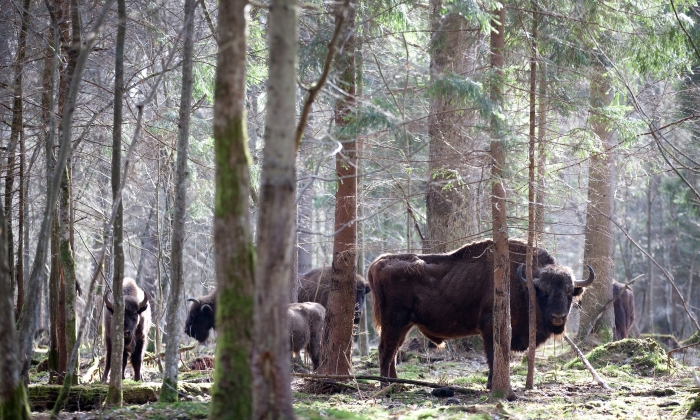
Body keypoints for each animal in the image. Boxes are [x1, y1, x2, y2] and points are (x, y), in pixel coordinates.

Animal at [370, 238, 592, 388]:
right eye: (543, 291)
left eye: (569, 292)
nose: (558, 317)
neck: (525, 284)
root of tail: (378, 262)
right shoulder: (490, 327)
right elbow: (494, 356)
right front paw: (492, 385)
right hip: (394, 322)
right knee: (385, 351)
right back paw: (386, 386)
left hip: (404, 325)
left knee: (393, 351)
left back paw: (396, 383)